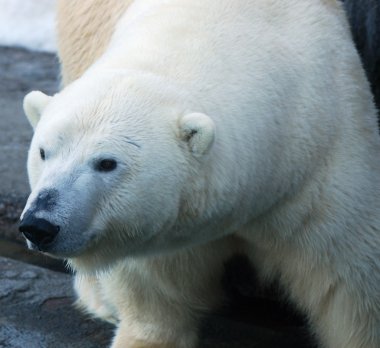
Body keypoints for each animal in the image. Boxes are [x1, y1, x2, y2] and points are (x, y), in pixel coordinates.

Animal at [18, 0, 380, 348]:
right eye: (44, 152)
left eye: (107, 163)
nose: (40, 224)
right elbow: (155, 284)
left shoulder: (323, 170)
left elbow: (349, 287)